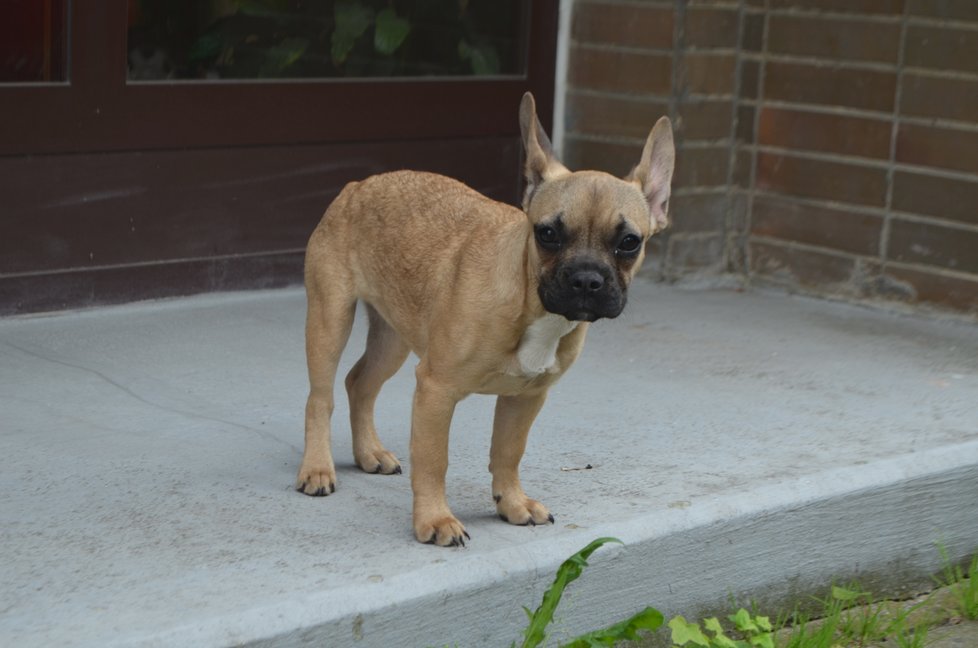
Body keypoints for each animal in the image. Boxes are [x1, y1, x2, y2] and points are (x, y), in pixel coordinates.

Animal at [296, 92, 672, 548]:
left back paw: (368, 452)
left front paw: (512, 503)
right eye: (547, 234)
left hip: (392, 340)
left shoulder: (526, 397)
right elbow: (433, 461)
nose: (586, 278)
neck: (533, 307)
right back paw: (317, 468)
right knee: (321, 396)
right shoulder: (436, 390)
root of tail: (358, 186)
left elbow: (508, 452)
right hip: (330, 319)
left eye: (629, 242)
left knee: (360, 382)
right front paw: (435, 519)